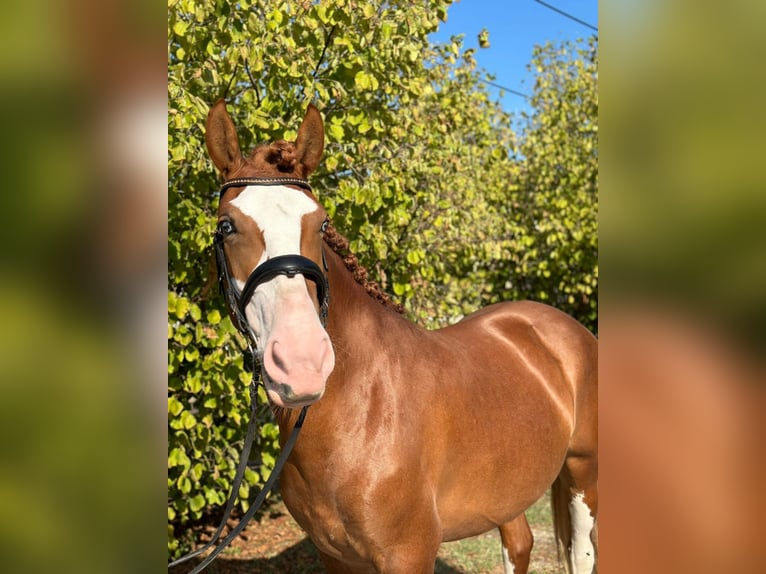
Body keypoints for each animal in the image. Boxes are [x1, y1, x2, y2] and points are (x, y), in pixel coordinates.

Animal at [206, 101, 600, 572]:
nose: (302, 363)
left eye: (321, 224)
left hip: (583, 472)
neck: (361, 407)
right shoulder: (334, 556)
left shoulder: (409, 553)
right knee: (520, 542)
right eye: (227, 227)